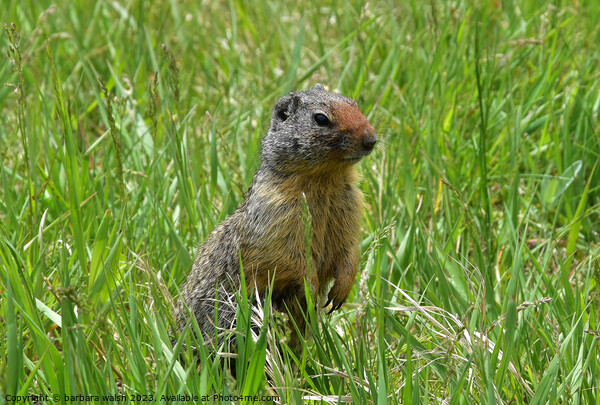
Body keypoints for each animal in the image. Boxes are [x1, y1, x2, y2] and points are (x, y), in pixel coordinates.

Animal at [176, 83, 378, 348]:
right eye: (321, 119)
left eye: (353, 103)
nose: (372, 139)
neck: (325, 180)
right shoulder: (276, 216)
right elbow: (289, 259)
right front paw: (312, 287)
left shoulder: (349, 208)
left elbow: (349, 250)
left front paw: (340, 292)